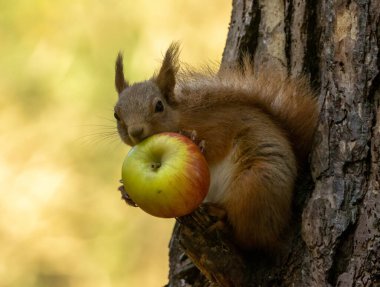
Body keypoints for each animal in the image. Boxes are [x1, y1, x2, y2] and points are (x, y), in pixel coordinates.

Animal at [114, 42, 320, 250]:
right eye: (116, 114)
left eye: (159, 106)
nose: (136, 131)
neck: (180, 118)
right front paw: (126, 192)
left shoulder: (219, 124)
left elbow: (217, 143)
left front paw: (196, 142)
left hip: (255, 185)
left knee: (248, 234)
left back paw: (222, 220)